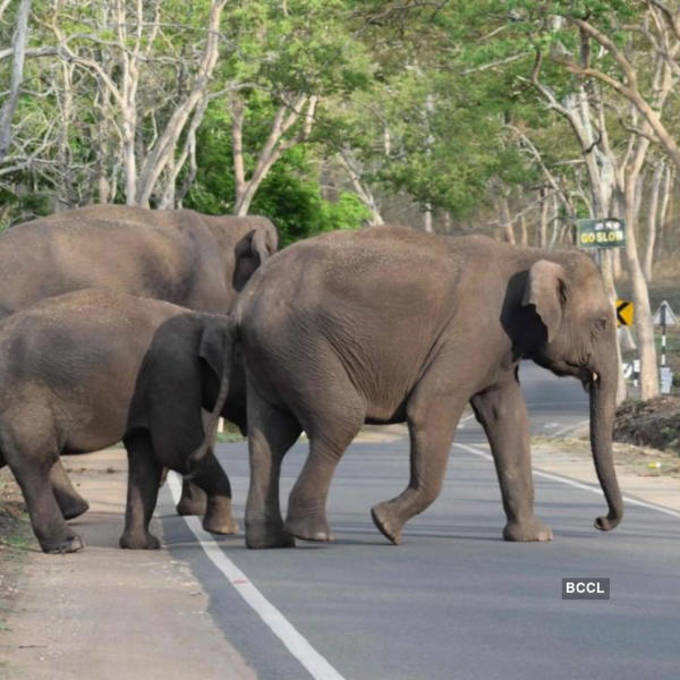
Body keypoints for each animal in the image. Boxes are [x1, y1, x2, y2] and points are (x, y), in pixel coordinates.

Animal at [0, 290, 243, 556]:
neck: (204, 318)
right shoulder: (173, 371)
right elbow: (177, 447)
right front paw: (224, 529)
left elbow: (147, 456)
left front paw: (142, 545)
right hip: (22, 399)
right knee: (36, 458)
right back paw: (70, 543)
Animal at [231, 227, 624, 548]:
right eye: (603, 323)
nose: (600, 521)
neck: (531, 253)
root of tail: (247, 298)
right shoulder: (474, 332)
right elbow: (429, 407)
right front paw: (385, 525)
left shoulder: (497, 349)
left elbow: (508, 418)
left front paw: (534, 537)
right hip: (299, 345)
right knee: (339, 419)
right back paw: (313, 534)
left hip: (272, 355)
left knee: (271, 436)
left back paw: (271, 541)